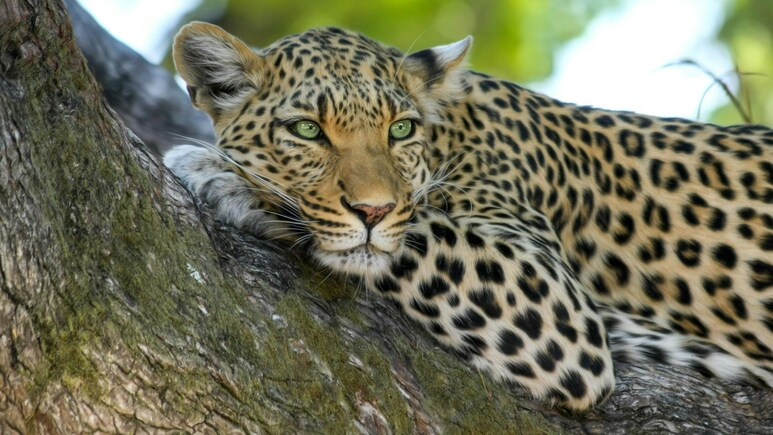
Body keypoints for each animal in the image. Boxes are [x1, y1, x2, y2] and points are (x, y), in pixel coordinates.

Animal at [163, 21, 773, 410]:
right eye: (308, 130)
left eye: (400, 129)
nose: (372, 209)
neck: (450, 136)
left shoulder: (554, 302)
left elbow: (416, 232)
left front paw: (223, 174)